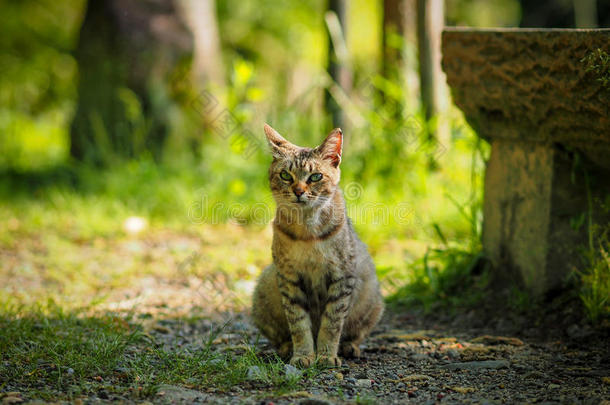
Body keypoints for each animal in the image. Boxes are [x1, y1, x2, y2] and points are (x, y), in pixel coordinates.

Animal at [249, 123, 382, 366]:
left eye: (315, 176)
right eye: (285, 175)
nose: (299, 191)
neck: (307, 232)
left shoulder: (342, 277)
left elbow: (332, 323)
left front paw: (327, 355)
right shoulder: (289, 278)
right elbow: (298, 323)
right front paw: (303, 355)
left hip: (371, 297)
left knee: (355, 332)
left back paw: (349, 347)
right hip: (265, 287)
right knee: (279, 335)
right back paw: (286, 349)